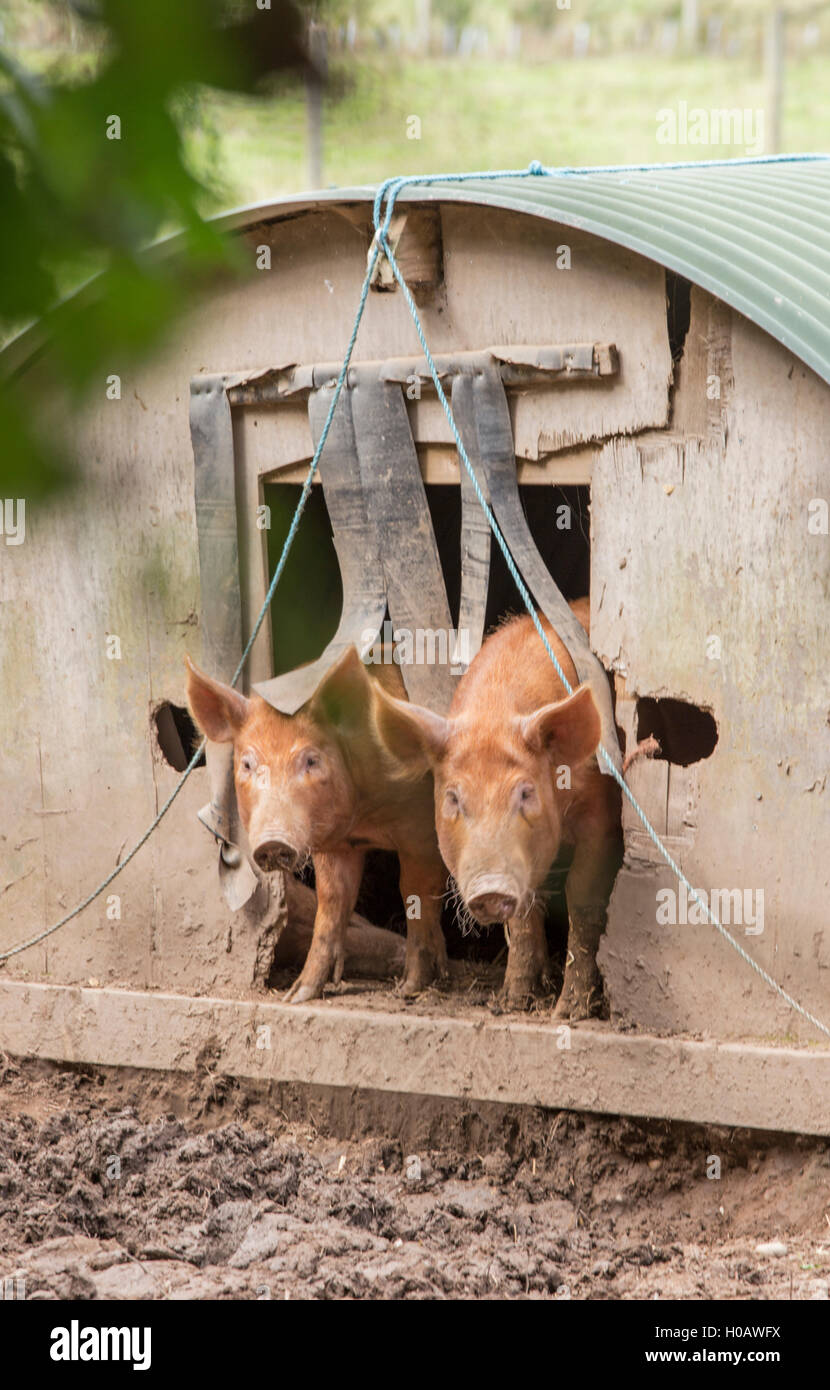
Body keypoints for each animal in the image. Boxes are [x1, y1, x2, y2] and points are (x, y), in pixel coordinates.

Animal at [186, 644, 447, 1006]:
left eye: (311, 760)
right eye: (248, 764)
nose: (273, 842)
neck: (364, 818)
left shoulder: (420, 829)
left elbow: (415, 896)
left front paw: (409, 989)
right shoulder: (333, 846)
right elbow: (331, 904)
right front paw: (296, 996)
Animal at [372, 614, 617, 1017]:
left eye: (525, 792)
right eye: (453, 798)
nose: (489, 888)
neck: (496, 710)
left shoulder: (603, 812)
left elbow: (583, 896)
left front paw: (568, 1013)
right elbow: (523, 914)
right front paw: (514, 1002)